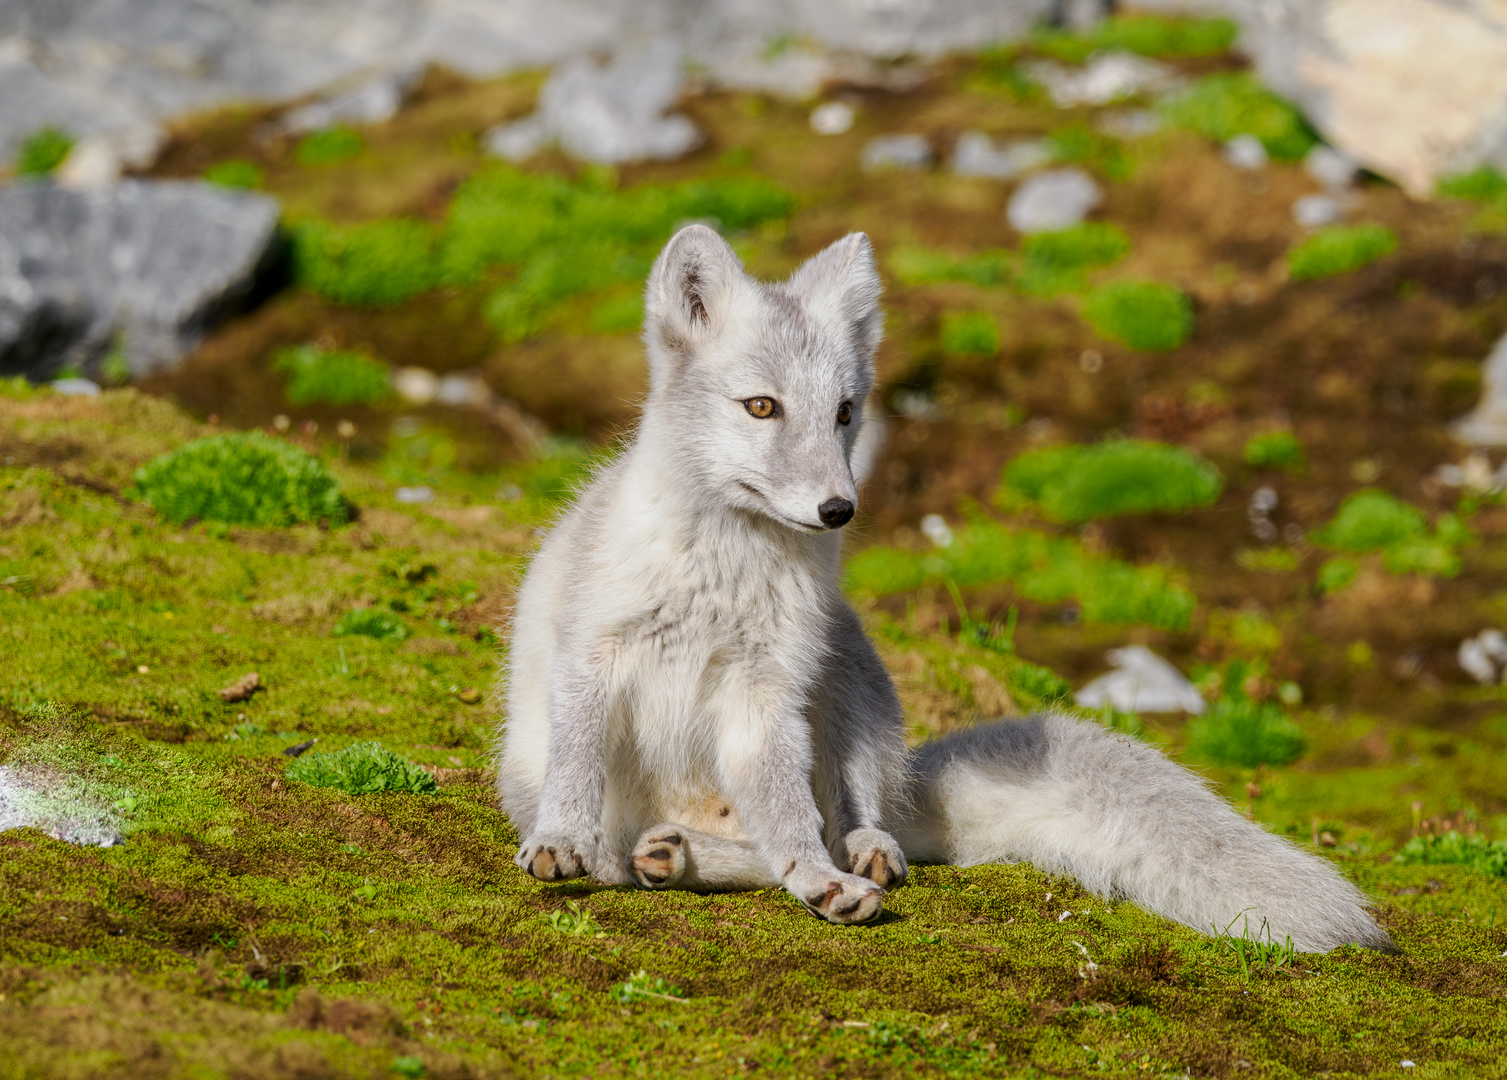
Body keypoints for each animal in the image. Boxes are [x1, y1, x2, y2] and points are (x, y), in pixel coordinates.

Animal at [500, 222, 1392, 945]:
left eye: (844, 412)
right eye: (760, 407)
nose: (838, 508)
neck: (719, 576)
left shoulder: (766, 692)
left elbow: (791, 826)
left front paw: (818, 883)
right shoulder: (594, 655)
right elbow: (579, 771)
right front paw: (561, 843)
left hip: (848, 675)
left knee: (835, 827)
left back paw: (829, 862)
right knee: (644, 852)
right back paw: (658, 856)